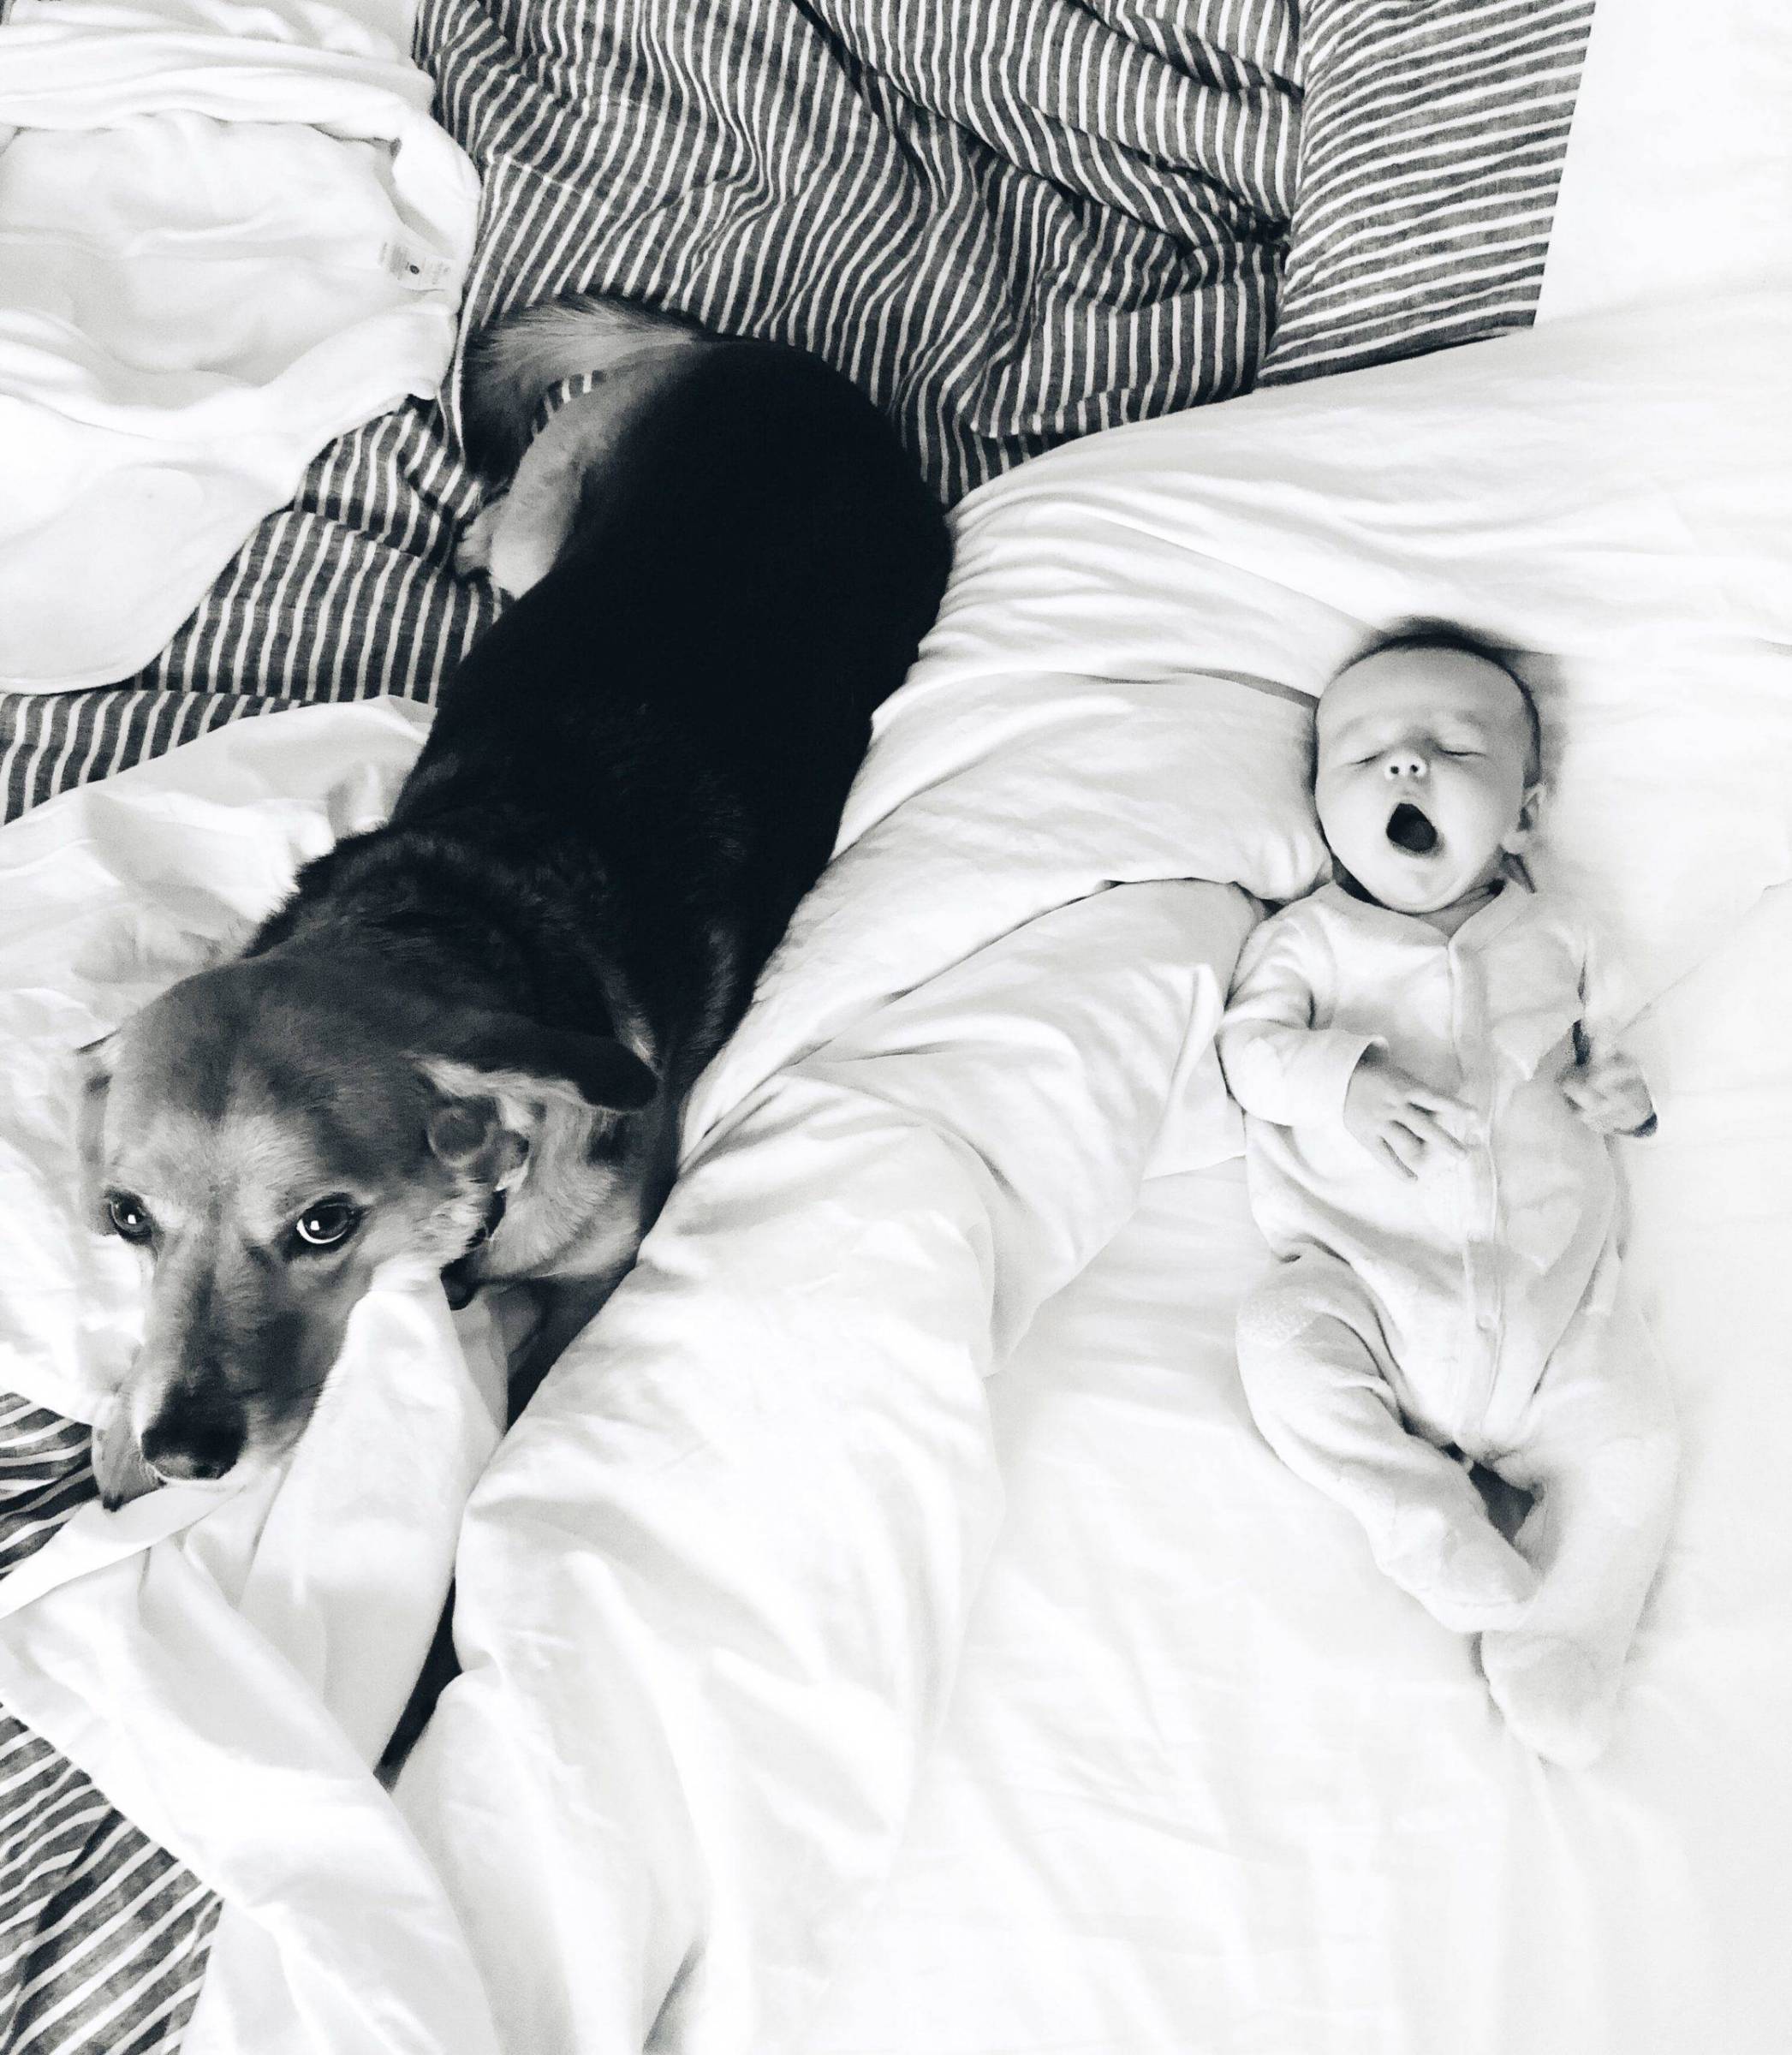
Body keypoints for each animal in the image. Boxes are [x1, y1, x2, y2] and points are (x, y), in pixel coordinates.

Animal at [80, 289, 953, 1512]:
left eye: (323, 1224)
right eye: (125, 1219)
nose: (186, 1455)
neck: (440, 914)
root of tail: (765, 360)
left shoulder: (594, 1279)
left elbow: (530, 1389)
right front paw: (120, 1418)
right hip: (554, 522)